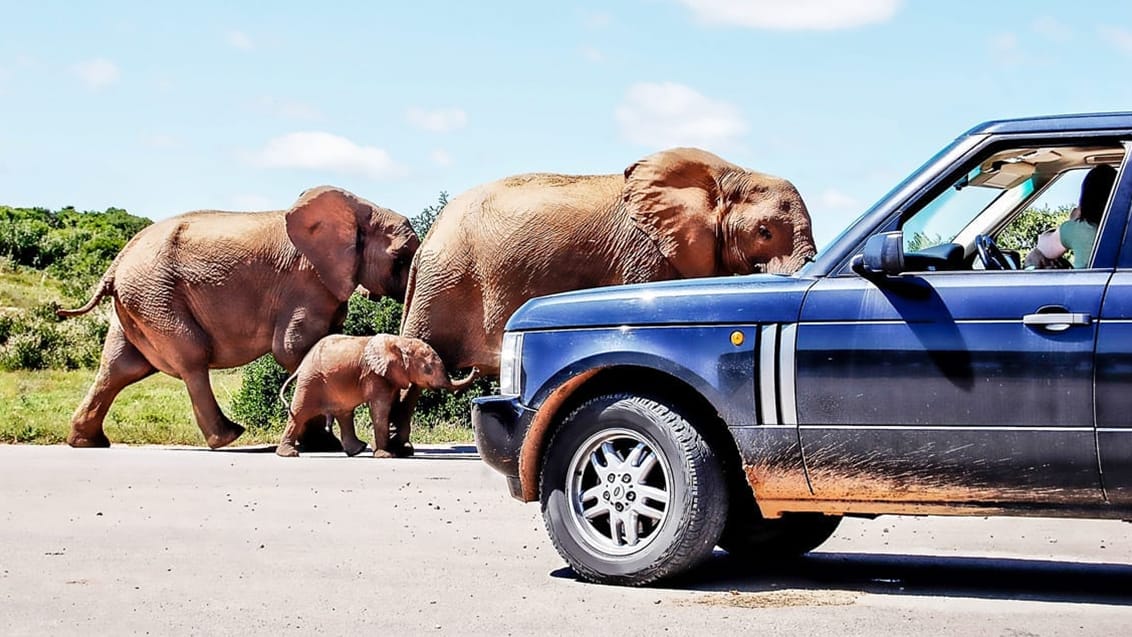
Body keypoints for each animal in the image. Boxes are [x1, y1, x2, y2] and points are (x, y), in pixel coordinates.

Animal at [57, 186, 421, 450]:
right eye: (401, 258)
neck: (360, 209)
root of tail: (116, 264)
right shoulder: (306, 282)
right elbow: (295, 349)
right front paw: (322, 444)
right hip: (155, 295)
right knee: (190, 356)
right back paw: (227, 436)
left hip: (139, 300)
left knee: (120, 367)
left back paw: (87, 442)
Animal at [280, 334, 479, 459]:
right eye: (428, 369)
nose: (475, 368)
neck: (401, 342)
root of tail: (302, 364)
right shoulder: (375, 375)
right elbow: (380, 408)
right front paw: (386, 455)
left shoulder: (391, 375)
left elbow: (389, 404)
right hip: (311, 381)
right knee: (299, 413)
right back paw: (289, 454)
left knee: (344, 414)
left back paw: (358, 450)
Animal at [393, 145, 819, 452]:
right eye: (764, 232)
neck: (727, 174)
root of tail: (430, 234)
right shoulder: (644, 254)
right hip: (444, 281)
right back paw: (399, 450)